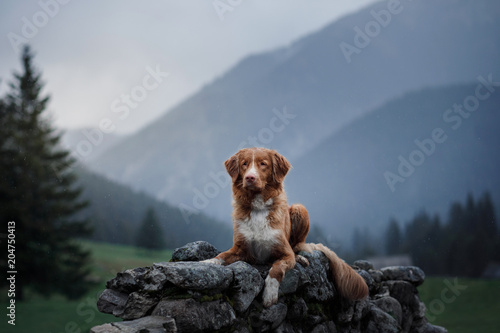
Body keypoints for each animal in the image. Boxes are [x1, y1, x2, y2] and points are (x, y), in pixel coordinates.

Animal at [203, 147, 368, 306]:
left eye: (263, 164)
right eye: (244, 164)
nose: (250, 177)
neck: (258, 208)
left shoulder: (284, 253)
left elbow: (277, 269)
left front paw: (270, 294)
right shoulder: (240, 248)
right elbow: (221, 256)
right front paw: (207, 263)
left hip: (299, 208)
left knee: (296, 246)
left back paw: (300, 258)